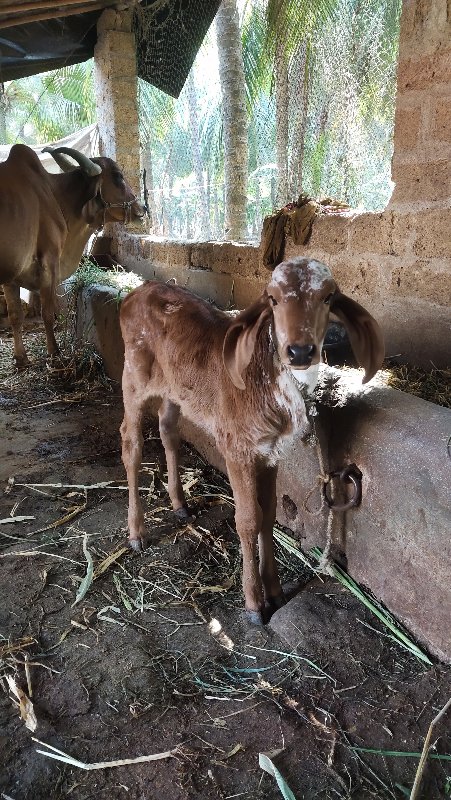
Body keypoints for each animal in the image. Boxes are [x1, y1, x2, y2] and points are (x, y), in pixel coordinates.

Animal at [0, 143, 145, 366]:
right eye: (118, 176)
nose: (143, 207)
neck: (55, 196)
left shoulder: (11, 276)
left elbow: (16, 315)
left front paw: (21, 358)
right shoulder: (49, 262)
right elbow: (47, 314)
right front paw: (54, 352)